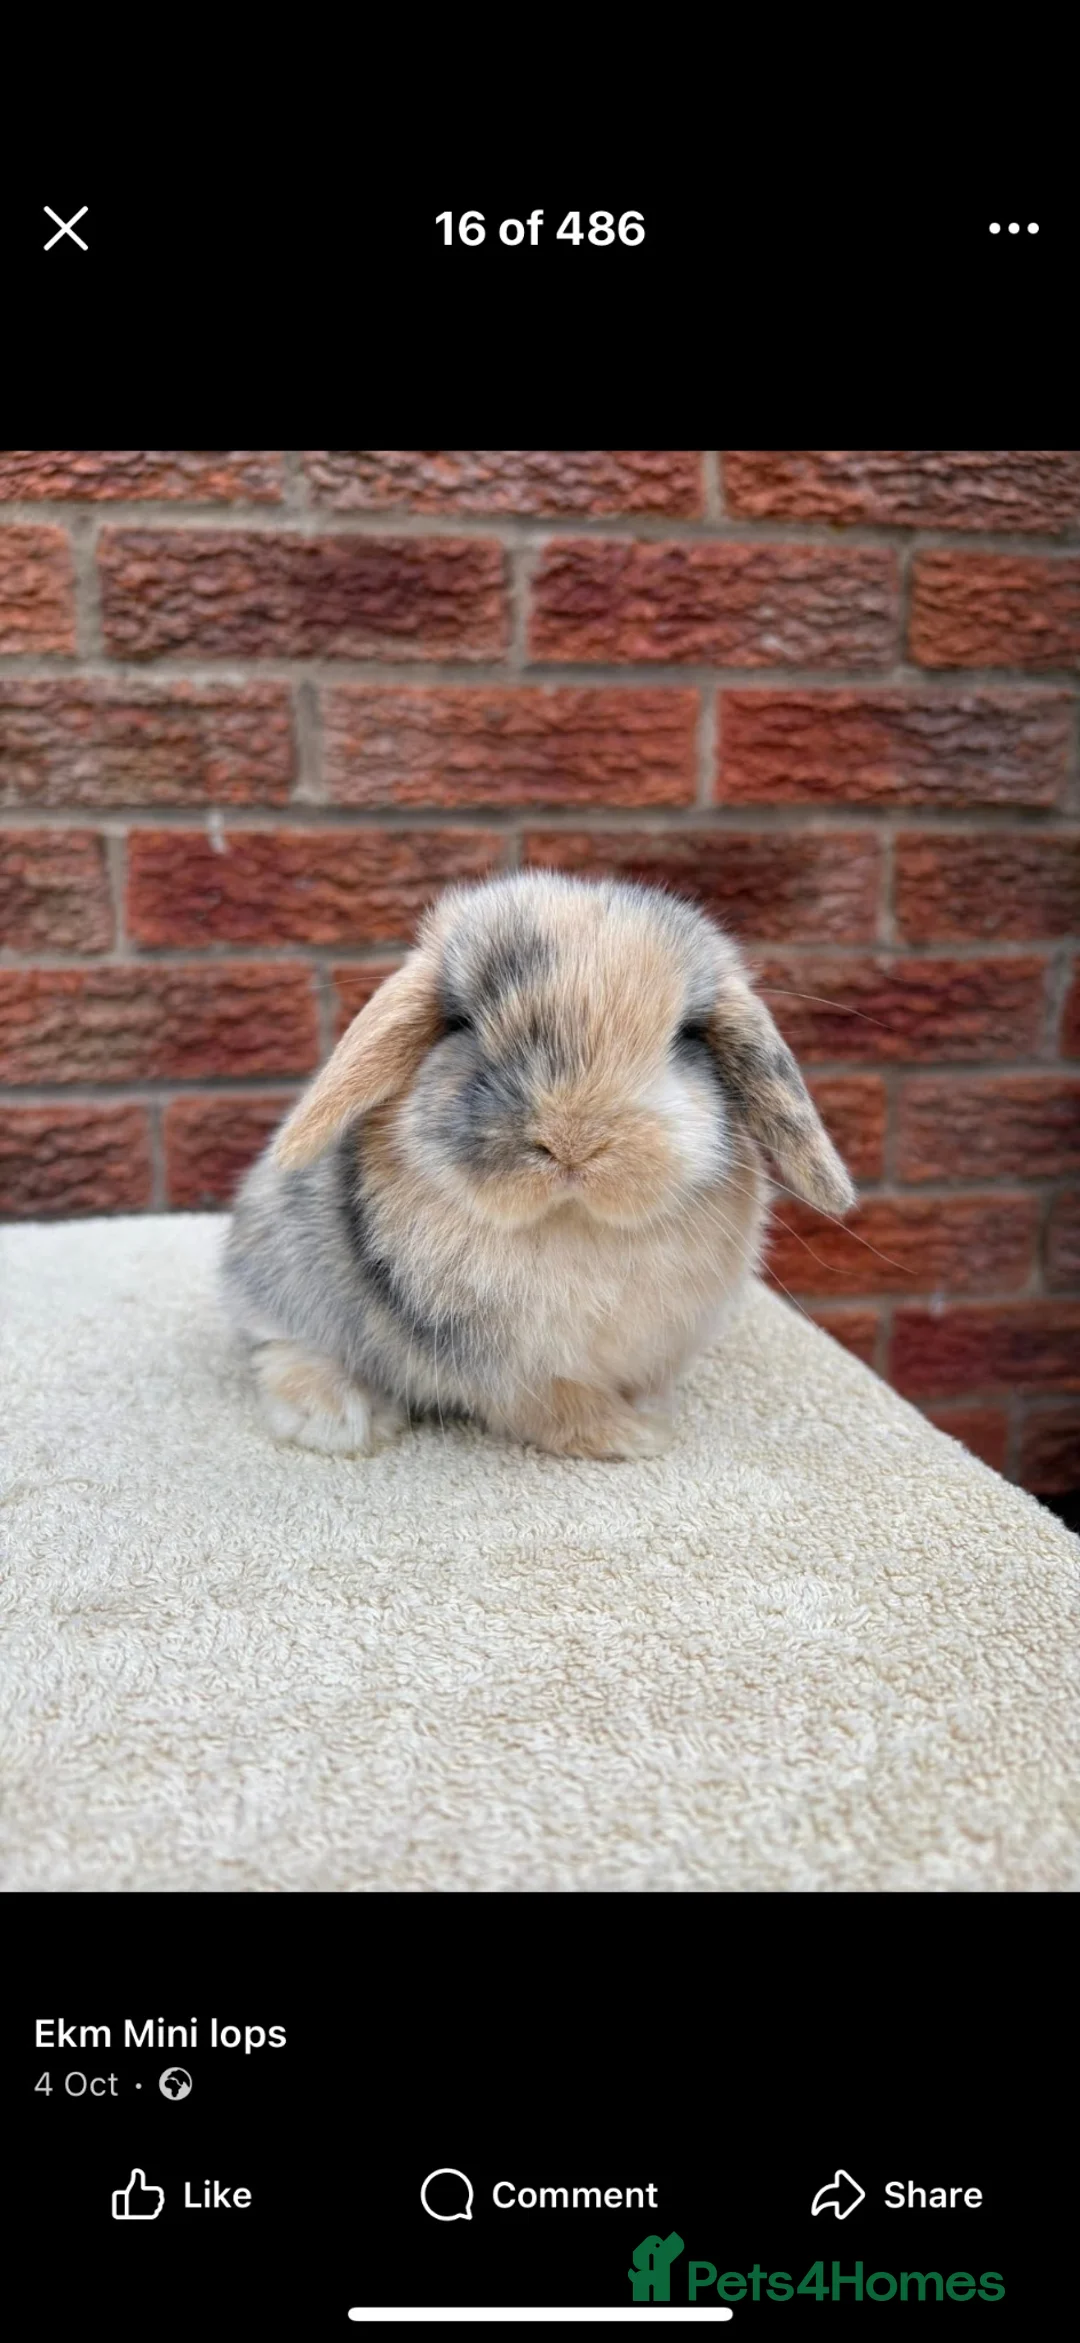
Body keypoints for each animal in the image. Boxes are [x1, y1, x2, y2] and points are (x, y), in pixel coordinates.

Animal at [221, 870, 855, 1461]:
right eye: (463, 1022)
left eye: (686, 1035)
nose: (573, 1141)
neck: (574, 1225)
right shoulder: (514, 1372)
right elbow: (562, 1408)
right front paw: (634, 1438)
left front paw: (649, 1416)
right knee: (276, 1345)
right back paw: (341, 1420)